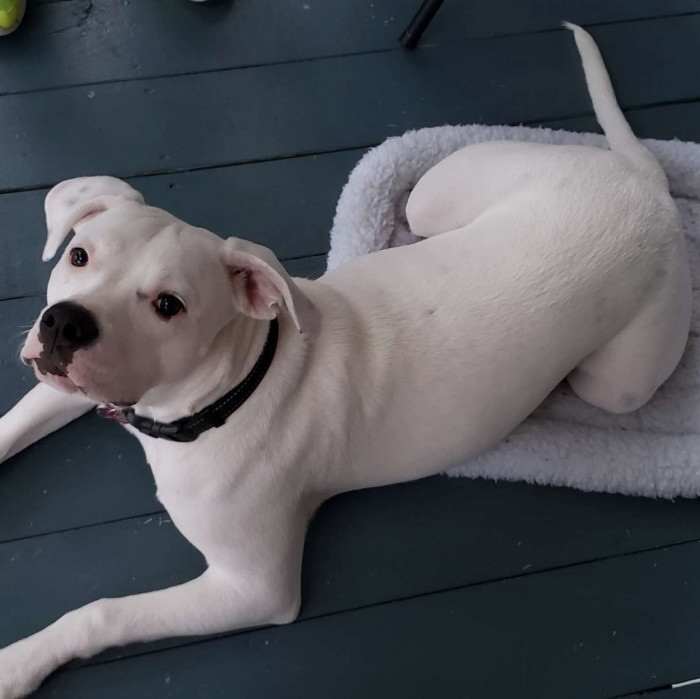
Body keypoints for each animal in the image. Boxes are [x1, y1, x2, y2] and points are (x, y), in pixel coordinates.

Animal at [0, 24, 688, 696]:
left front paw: (18, 663)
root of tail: (642, 181)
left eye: (170, 305)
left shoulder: (251, 588)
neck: (227, 392)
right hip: (442, 196)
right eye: (79, 255)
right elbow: (12, 425)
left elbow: (102, 612)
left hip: (617, 384)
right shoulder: (72, 384)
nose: (66, 323)